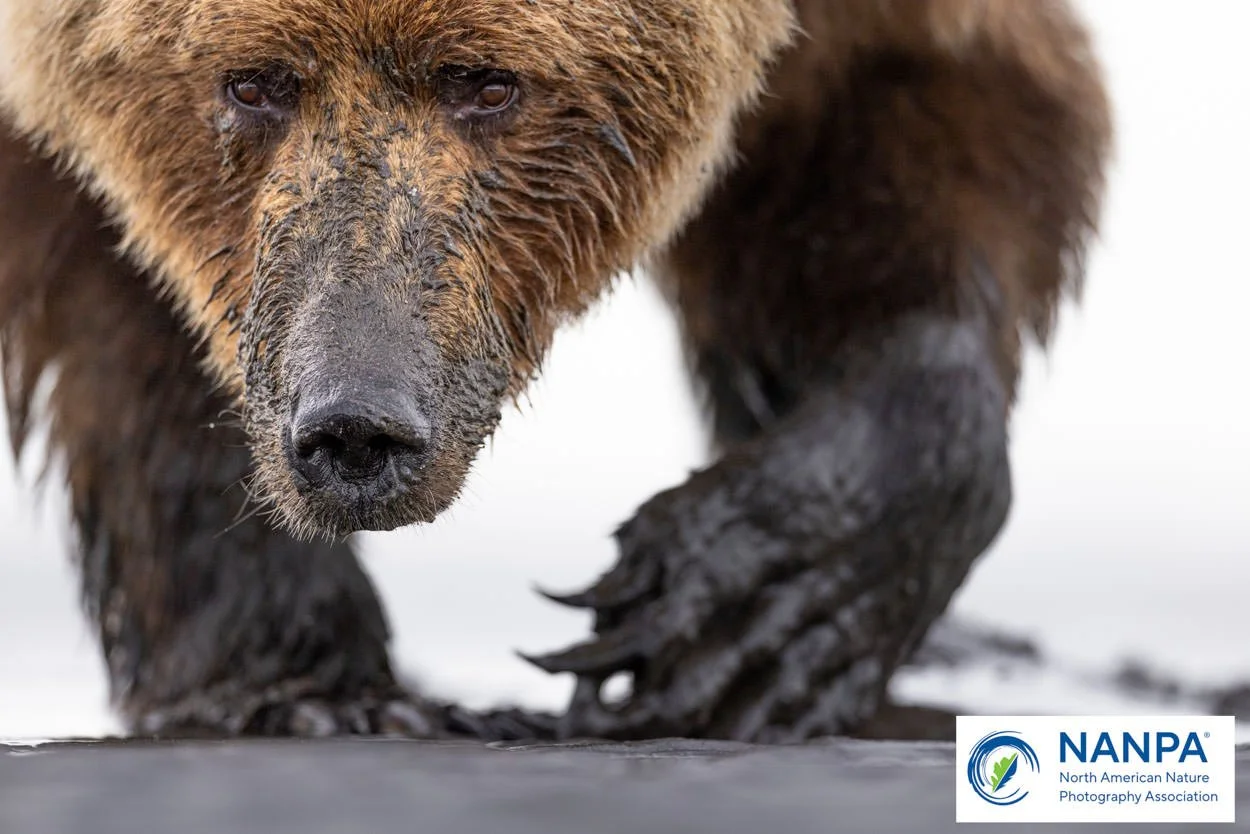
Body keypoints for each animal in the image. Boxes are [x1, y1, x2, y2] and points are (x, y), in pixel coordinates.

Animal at [0, 0, 1111, 741]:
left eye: (486, 82)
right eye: (252, 82)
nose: (357, 425)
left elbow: (910, 129)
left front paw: (750, 604)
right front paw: (309, 685)